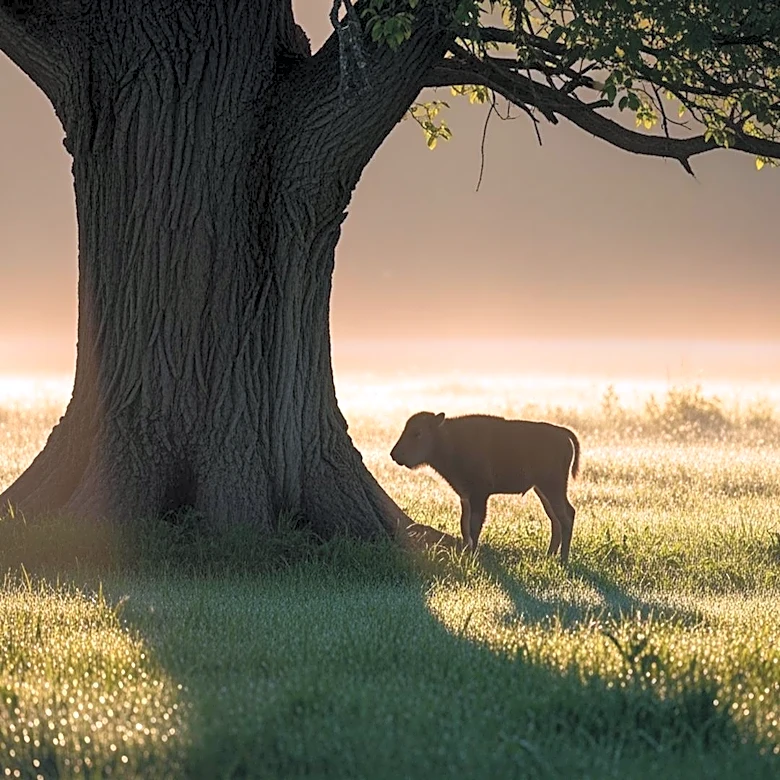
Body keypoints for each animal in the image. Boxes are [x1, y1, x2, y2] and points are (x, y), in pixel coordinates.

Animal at [390, 412, 581, 562]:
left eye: (418, 433)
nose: (394, 454)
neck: (448, 439)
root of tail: (562, 433)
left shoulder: (479, 495)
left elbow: (474, 525)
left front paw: (473, 554)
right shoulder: (465, 497)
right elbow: (464, 525)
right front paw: (466, 552)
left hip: (553, 487)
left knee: (567, 515)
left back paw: (563, 559)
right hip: (542, 490)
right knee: (555, 519)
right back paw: (550, 555)